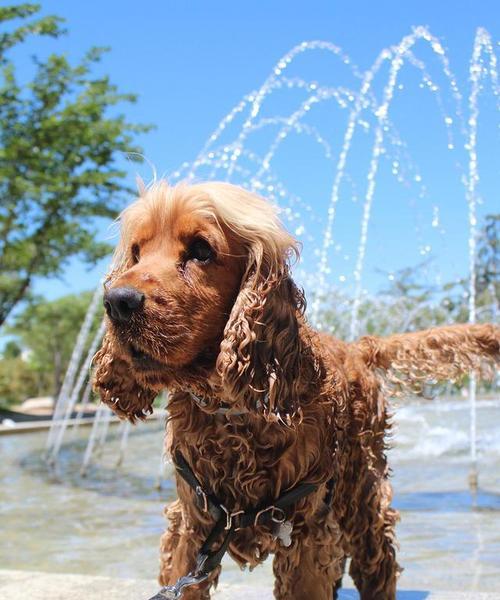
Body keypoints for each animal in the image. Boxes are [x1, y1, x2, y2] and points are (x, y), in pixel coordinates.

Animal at [94, 180, 500, 596]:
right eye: (136, 253)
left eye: (201, 250)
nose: (117, 302)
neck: (231, 411)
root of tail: (357, 348)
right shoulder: (193, 527)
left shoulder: (304, 533)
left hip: (362, 498)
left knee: (380, 565)